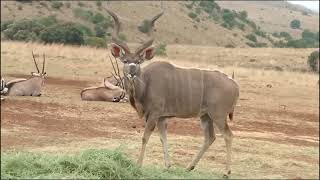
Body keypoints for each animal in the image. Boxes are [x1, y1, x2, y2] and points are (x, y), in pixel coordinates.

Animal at [106, 9, 239, 176]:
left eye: (138, 61)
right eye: (125, 61)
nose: (132, 72)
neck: (146, 83)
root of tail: (234, 84)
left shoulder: (154, 114)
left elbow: (145, 137)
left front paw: (138, 165)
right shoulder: (162, 118)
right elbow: (163, 138)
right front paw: (168, 166)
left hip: (218, 115)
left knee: (228, 135)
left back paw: (226, 172)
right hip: (206, 116)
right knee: (210, 138)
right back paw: (189, 167)